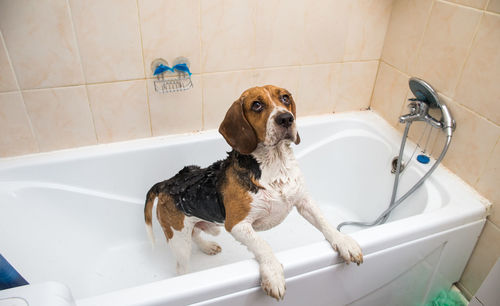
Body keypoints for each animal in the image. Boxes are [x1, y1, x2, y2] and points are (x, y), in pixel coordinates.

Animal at [145, 85, 364, 300]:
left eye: (285, 98)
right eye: (256, 105)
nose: (286, 118)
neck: (276, 164)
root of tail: (165, 183)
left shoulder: (304, 201)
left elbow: (324, 222)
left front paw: (344, 242)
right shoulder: (237, 225)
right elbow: (262, 244)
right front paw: (273, 274)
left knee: (196, 233)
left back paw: (208, 247)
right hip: (178, 240)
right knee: (182, 265)